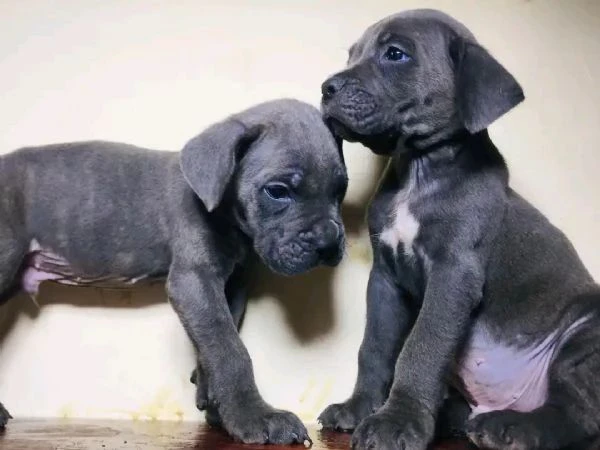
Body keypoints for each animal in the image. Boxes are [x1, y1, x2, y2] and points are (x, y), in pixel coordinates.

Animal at [0, 96, 346, 444]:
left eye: (340, 190)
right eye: (277, 191)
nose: (328, 243)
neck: (226, 215)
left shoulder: (231, 285)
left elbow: (218, 337)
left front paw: (215, 403)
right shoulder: (193, 281)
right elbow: (230, 349)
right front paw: (254, 417)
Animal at [318, 8, 600, 450]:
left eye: (395, 54)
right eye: (352, 54)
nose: (326, 88)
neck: (418, 173)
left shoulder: (454, 276)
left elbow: (421, 347)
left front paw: (396, 422)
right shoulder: (384, 279)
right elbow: (375, 347)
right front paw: (360, 408)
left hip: (586, 336)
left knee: (580, 413)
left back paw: (512, 428)